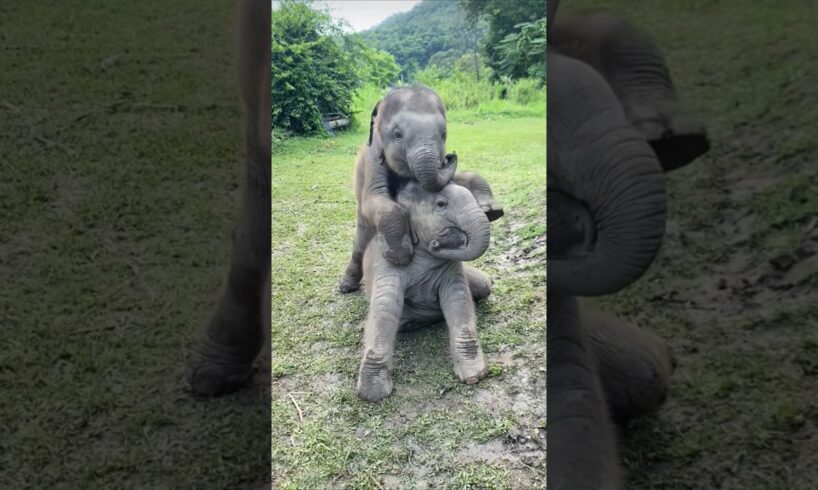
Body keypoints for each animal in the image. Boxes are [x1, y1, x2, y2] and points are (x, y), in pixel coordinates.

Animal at [338, 86, 503, 294]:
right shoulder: (372, 159)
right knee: (359, 244)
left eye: (444, 134)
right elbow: (374, 200)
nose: (450, 156)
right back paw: (346, 287)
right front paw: (400, 257)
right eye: (397, 134)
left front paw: (492, 212)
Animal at [356, 180, 495, 402]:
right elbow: (384, 309)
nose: (437, 243)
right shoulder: (387, 261)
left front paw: (474, 376)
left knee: (484, 285)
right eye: (441, 204)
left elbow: (458, 299)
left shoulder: (452, 267)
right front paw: (373, 395)